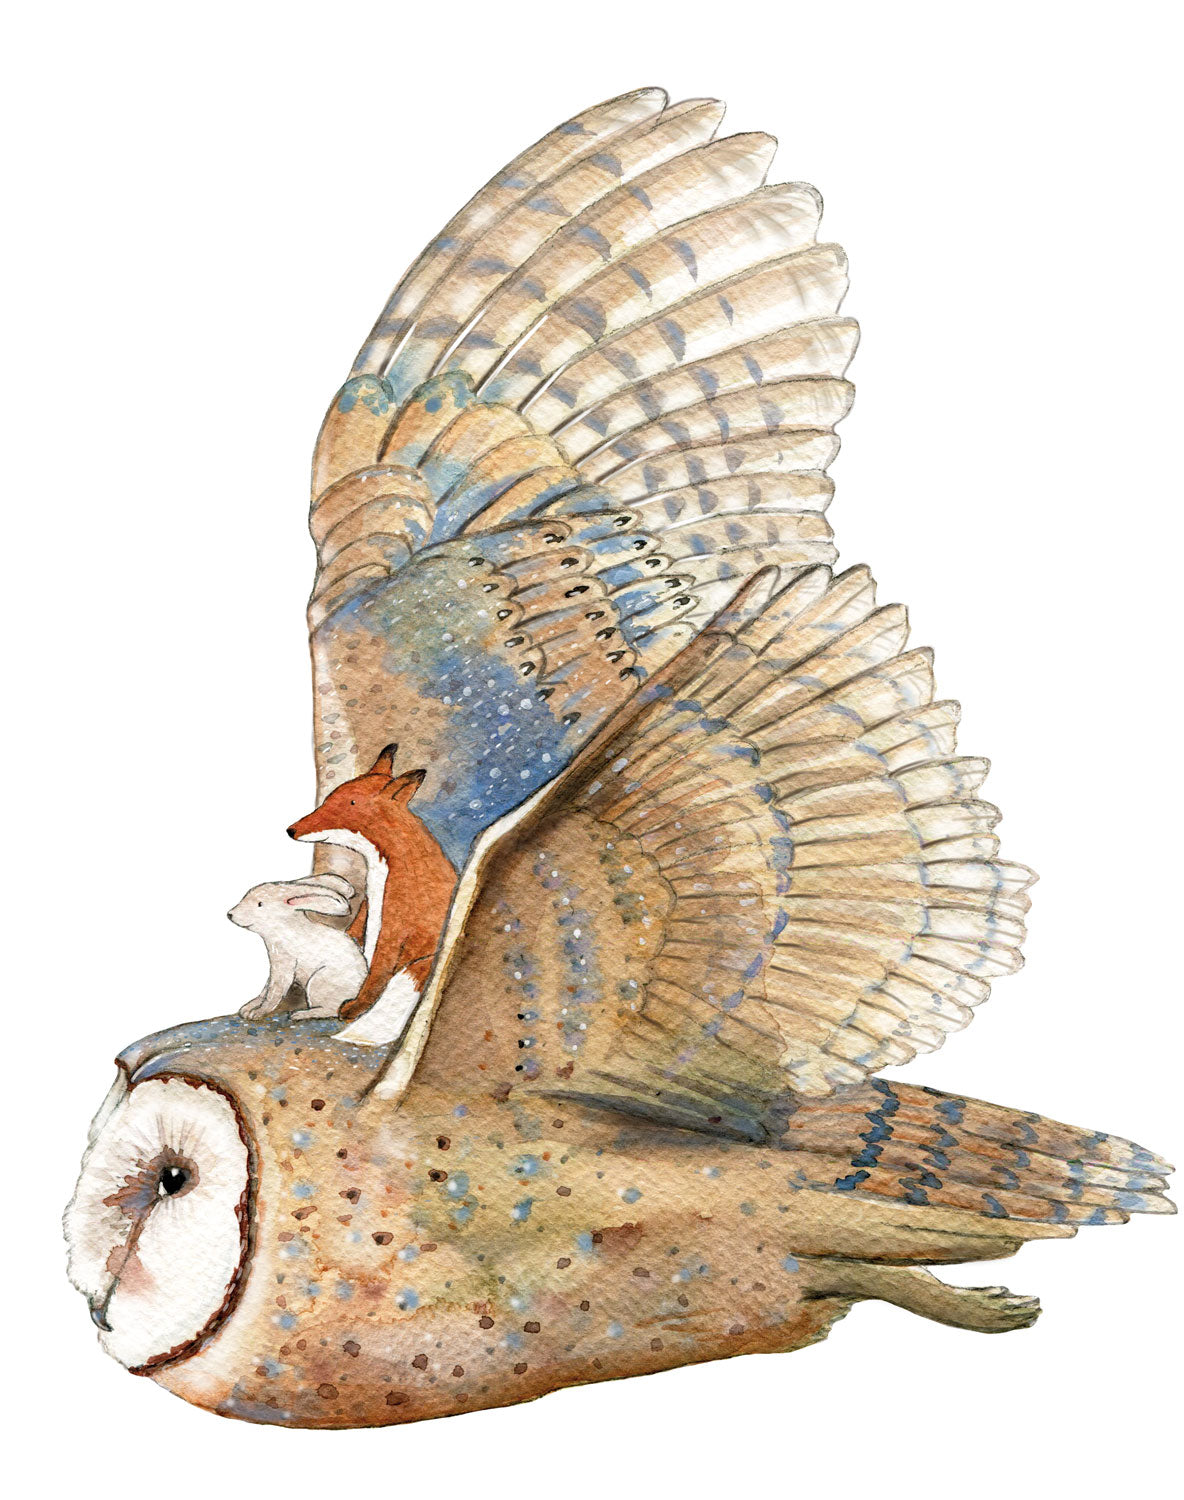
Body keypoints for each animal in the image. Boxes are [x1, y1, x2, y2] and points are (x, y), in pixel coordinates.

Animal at [227, 873, 368, 1020]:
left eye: (260, 904)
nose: (230, 914)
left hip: (318, 981)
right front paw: (247, 1008)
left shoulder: (284, 965)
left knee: (333, 1010)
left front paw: (256, 1013)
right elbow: (266, 989)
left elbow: (274, 992)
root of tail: (357, 993)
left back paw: (299, 1015)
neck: (285, 928)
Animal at [287, 744, 456, 1028]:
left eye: (351, 803)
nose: (291, 830)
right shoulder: (367, 907)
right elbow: (353, 936)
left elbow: (377, 971)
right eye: (330, 797)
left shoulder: (394, 929)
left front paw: (354, 1008)